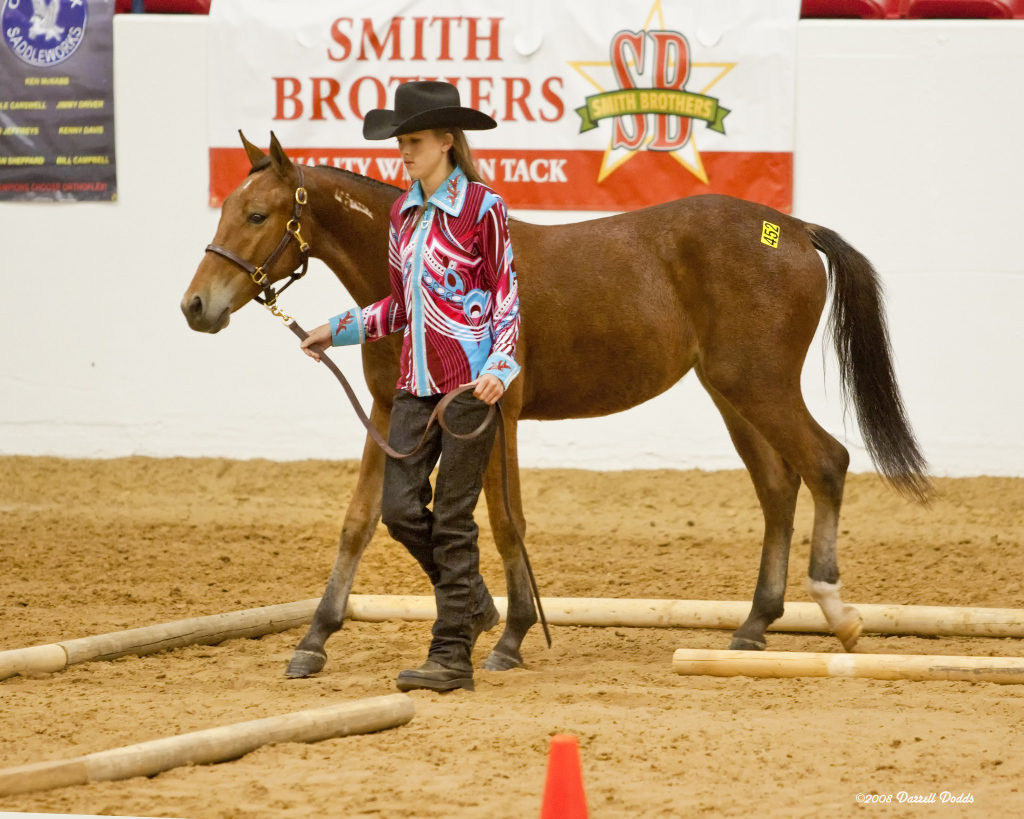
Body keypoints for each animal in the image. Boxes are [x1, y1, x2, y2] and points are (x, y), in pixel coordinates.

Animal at [180, 134, 933, 679]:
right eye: (224, 210)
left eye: (257, 214)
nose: (196, 306)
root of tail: (795, 229)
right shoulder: (391, 412)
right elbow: (363, 523)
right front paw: (316, 637)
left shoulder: (492, 414)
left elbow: (503, 522)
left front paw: (507, 635)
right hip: (732, 394)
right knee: (779, 488)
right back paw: (753, 626)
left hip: (761, 385)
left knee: (827, 462)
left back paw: (838, 612)